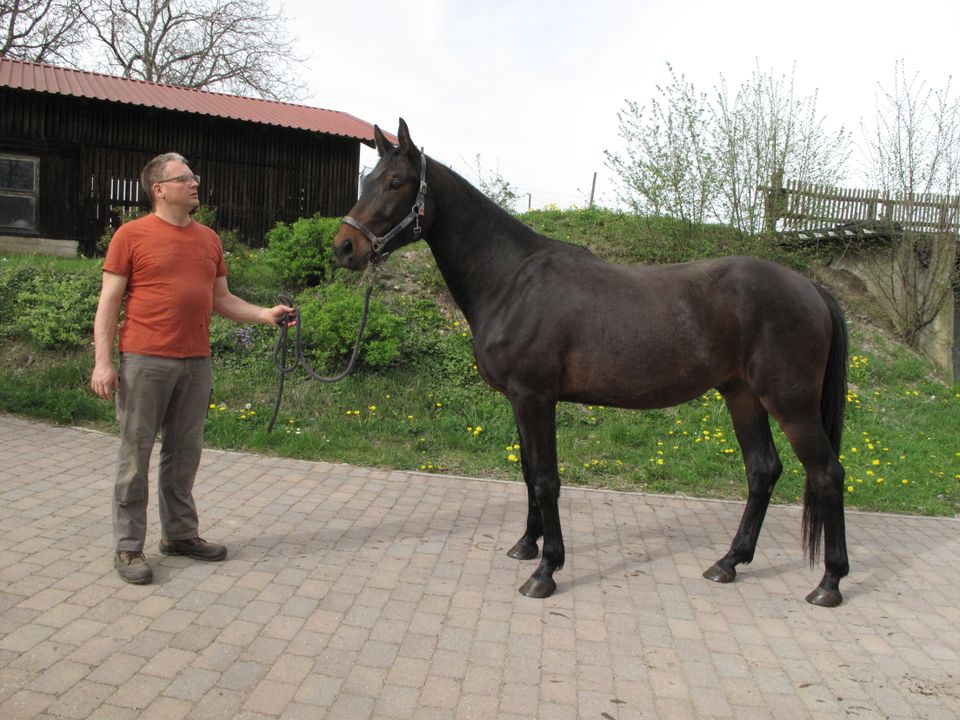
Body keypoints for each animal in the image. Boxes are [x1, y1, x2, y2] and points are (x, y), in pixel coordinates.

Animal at [332, 121, 848, 604]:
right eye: (367, 178)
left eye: (396, 182)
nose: (344, 247)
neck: (511, 280)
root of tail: (812, 289)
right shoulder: (520, 401)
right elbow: (527, 472)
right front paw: (527, 545)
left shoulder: (535, 397)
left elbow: (546, 479)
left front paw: (546, 571)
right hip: (743, 397)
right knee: (762, 471)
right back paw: (729, 562)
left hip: (791, 404)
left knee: (827, 473)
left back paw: (829, 583)